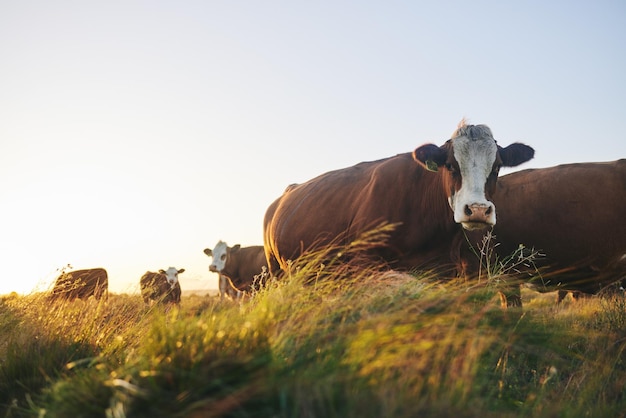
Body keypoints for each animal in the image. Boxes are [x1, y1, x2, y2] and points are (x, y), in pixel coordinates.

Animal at [262, 121, 532, 278]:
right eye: (450, 165)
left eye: (496, 167)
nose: (476, 210)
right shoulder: (364, 261)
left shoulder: (443, 268)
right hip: (276, 271)